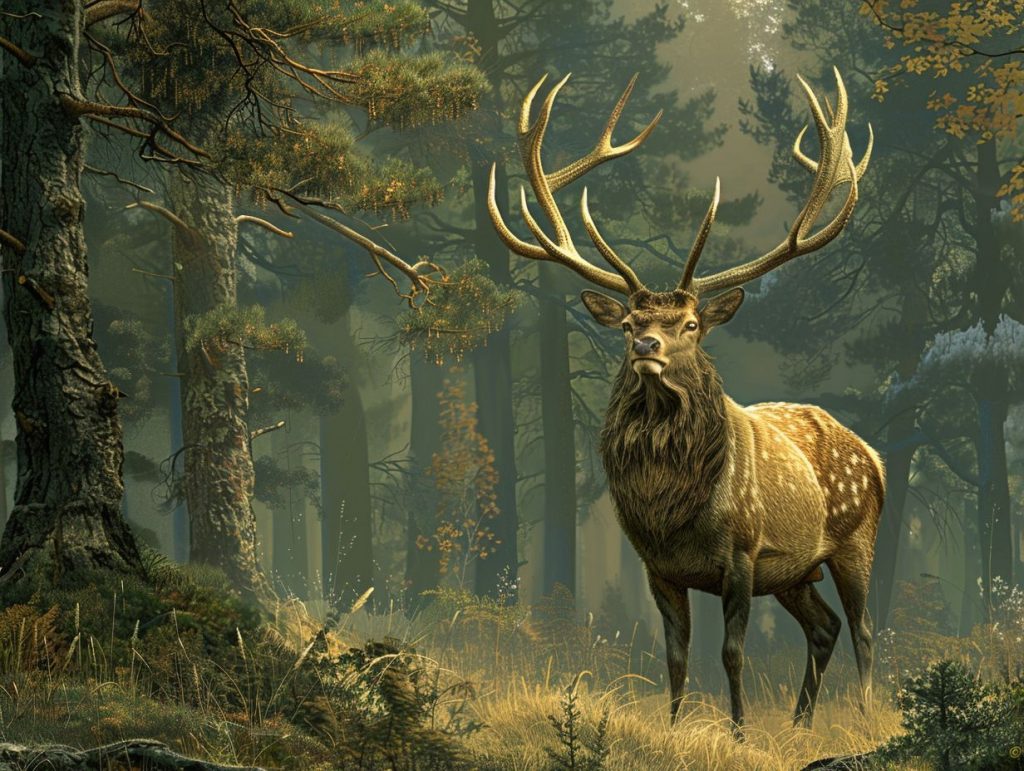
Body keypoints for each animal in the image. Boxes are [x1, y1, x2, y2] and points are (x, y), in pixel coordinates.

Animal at [487, 69, 883, 735]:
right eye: (629, 323)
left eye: (692, 324)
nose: (647, 344)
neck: (670, 508)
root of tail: (874, 456)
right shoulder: (658, 566)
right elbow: (674, 655)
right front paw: (674, 729)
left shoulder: (744, 551)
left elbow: (731, 652)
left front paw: (741, 733)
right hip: (796, 572)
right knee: (825, 628)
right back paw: (800, 725)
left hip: (857, 539)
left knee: (864, 630)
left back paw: (866, 717)